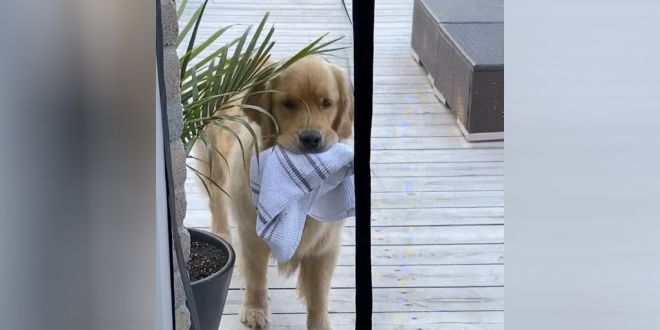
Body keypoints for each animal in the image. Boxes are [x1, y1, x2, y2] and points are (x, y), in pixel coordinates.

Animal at [193, 55, 354, 328]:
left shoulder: (325, 244)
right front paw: (255, 309)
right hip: (213, 160)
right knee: (217, 202)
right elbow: (256, 276)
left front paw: (320, 323)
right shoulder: (251, 232)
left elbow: (319, 293)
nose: (311, 139)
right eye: (288, 104)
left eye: (326, 103)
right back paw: (222, 233)